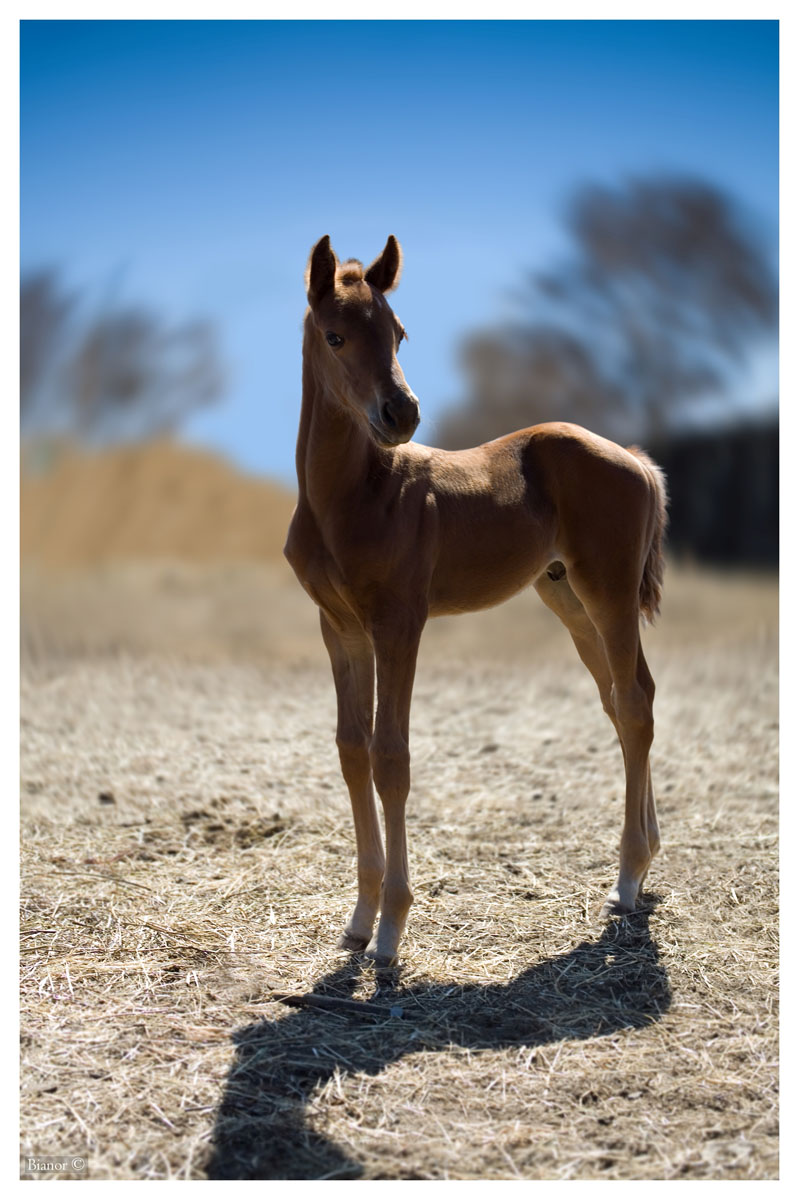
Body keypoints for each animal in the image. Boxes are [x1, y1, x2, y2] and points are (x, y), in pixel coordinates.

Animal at [283, 234, 662, 964]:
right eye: (336, 335)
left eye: (398, 332)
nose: (400, 413)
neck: (351, 498)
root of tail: (633, 458)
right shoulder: (337, 627)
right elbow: (351, 750)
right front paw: (358, 919)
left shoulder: (399, 623)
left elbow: (391, 758)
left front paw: (391, 930)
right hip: (566, 596)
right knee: (625, 695)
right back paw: (650, 856)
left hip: (607, 588)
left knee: (631, 703)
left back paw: (627, 881)